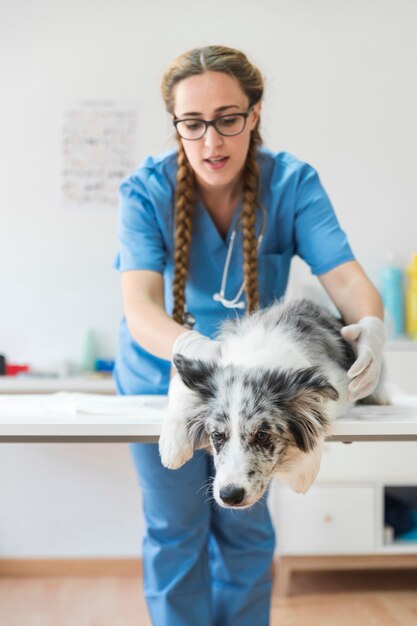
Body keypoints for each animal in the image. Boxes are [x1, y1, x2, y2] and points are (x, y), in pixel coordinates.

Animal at [158, 298, 386, 508]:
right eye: (216, 435)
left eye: (262, 435)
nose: (230, 495)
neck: (256, 361)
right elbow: (180, 392)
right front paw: (171, 447)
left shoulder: (340, 384)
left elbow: (319, 412)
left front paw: (304, 470)